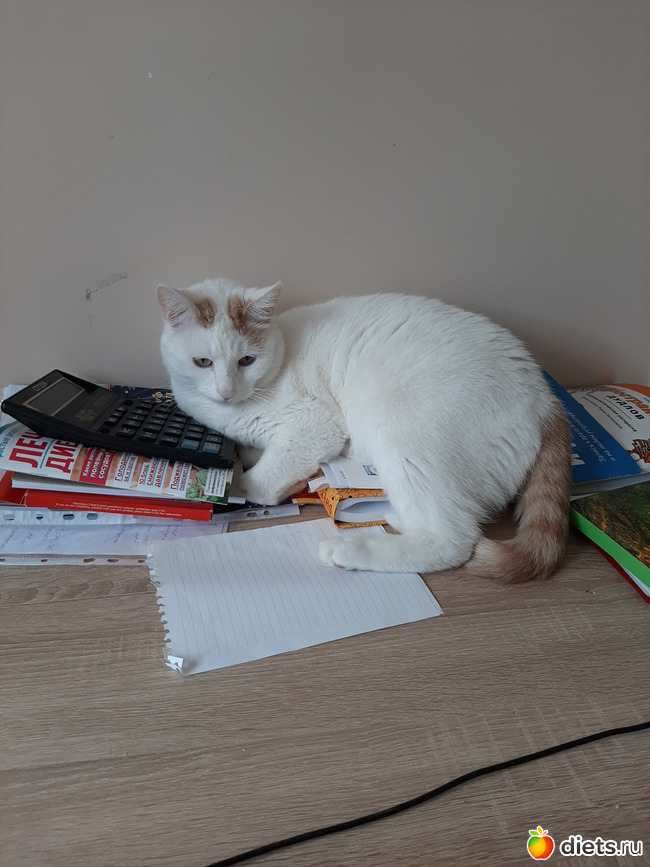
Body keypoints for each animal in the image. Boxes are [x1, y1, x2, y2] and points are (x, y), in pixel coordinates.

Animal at [157, 278, 572, 582]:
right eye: (203, 362)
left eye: (246, 360)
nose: (226, 390)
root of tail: (544, 395)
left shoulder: (315, 424)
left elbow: (259, 481)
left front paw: (232, 486)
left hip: (404, 434)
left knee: (451, 538)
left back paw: (350, 550)